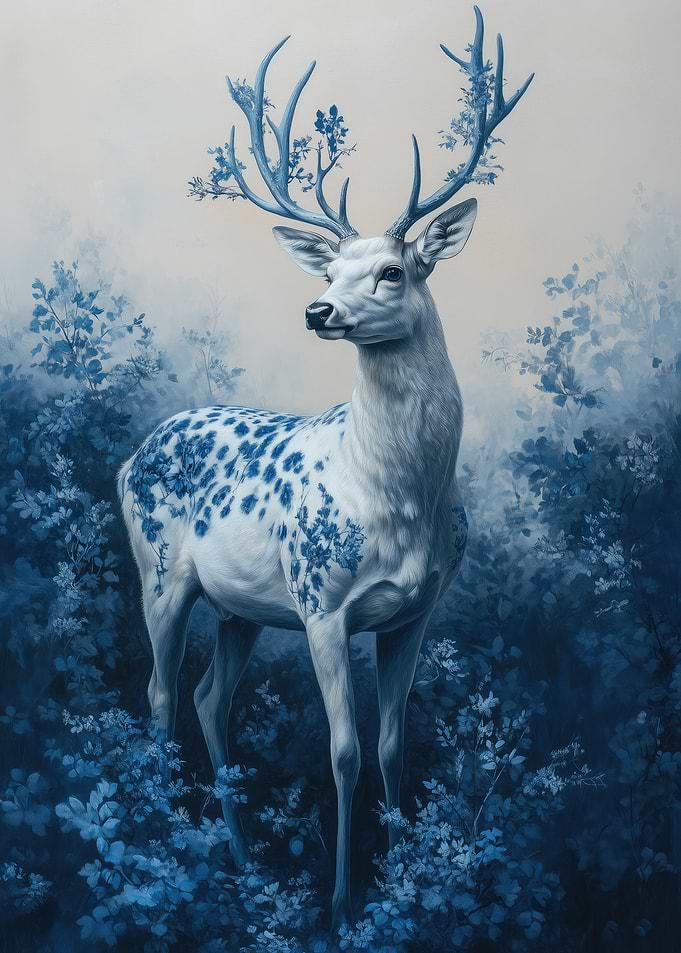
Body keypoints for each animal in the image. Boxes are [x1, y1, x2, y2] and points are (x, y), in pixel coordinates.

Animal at [118, 5, 532, 929]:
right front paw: (341, 901)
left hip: (240, 607)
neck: (399, 496)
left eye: (392, 269)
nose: (318, 309)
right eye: (331, 268)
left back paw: (241, 858)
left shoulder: (416, 610)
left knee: (208, 698)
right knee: (158, 694)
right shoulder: (321, 603)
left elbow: (393, 743)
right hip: (159, 570)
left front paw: (411, 873)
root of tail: (135, 450)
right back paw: (170, 842)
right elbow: (340, 751)